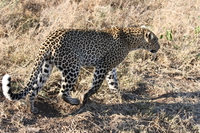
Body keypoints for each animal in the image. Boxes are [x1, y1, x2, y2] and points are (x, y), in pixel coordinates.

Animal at [1, 26, 159, 114]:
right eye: (156, 40)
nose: (159, 47)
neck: (131, 40)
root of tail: (49, 38)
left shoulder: (110, 68)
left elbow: (113, 83)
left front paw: (120, 95)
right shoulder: (103, 65)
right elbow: (96, 85)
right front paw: (85, 97)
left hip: (46, 67)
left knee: (33, 89)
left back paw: (32, 109)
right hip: (73, 67)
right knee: (62, 92)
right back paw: (74, 101)